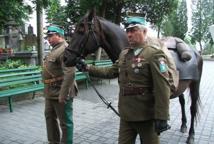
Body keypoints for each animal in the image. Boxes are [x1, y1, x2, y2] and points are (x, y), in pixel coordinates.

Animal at [63, 10, 202, 144]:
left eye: (81, 30)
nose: (65, 58)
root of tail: (195, 52)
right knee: (182, 102)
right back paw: (183, 125)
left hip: (195, 84)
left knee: (193, 108)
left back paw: (191, 135)